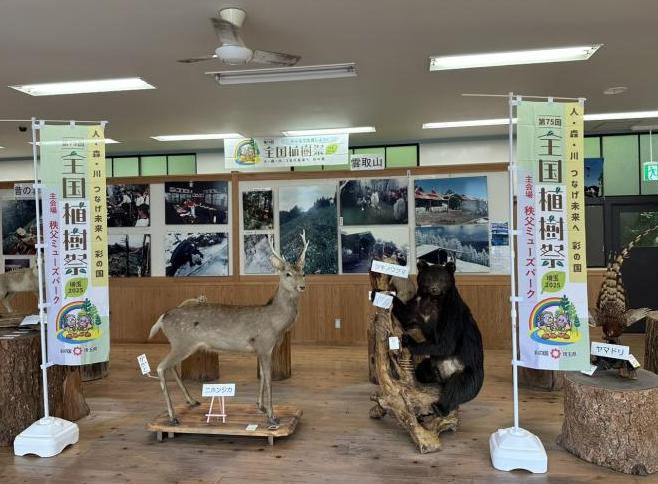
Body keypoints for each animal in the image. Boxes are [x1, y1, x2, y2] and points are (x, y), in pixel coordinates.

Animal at [149, 231, 308, 424]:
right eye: (287, 274)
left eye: (303, 272)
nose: (302, 286)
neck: (276, 322)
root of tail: (162, 318)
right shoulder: (264, 344)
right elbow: (269, 379)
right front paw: (272, 417)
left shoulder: (261, 349)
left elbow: (262, 377)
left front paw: (260, 406)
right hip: (182, 341)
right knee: (160, 367)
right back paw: (173, 417)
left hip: (180, 344)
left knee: (170, 367)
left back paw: (192, 400)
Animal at [374, 260, 482, 416]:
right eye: (429, 278)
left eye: (442, 279)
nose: (434, 288)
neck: (433, 300)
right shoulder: (417, 306)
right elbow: (405, 314)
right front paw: (378, 292)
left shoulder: (452, 313)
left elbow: (446, 342)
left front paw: (408, 340)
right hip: (431, 365)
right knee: (422, 371)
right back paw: (434, 375)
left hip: (468, 372)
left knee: (458, 386)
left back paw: (439, 408)